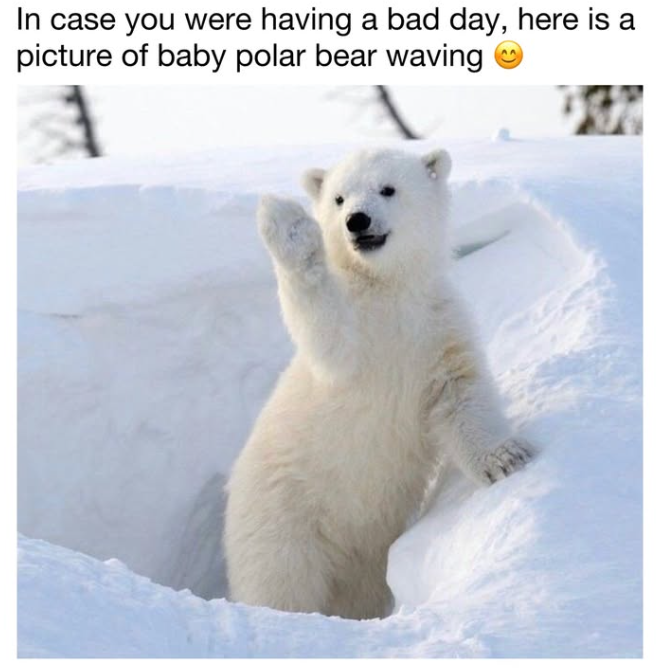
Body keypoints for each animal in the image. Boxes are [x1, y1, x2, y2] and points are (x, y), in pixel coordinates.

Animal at [224, 147, 534, 620]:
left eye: (388, 189)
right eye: (338, 198)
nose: (357, 220)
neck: (388, 289)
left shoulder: (436, 327)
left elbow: (461, 393)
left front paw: (506, 459)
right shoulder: (355, 339)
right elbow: (327, 333)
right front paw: (289, 225)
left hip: (363, 557)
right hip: (283, 516)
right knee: (279, 582)